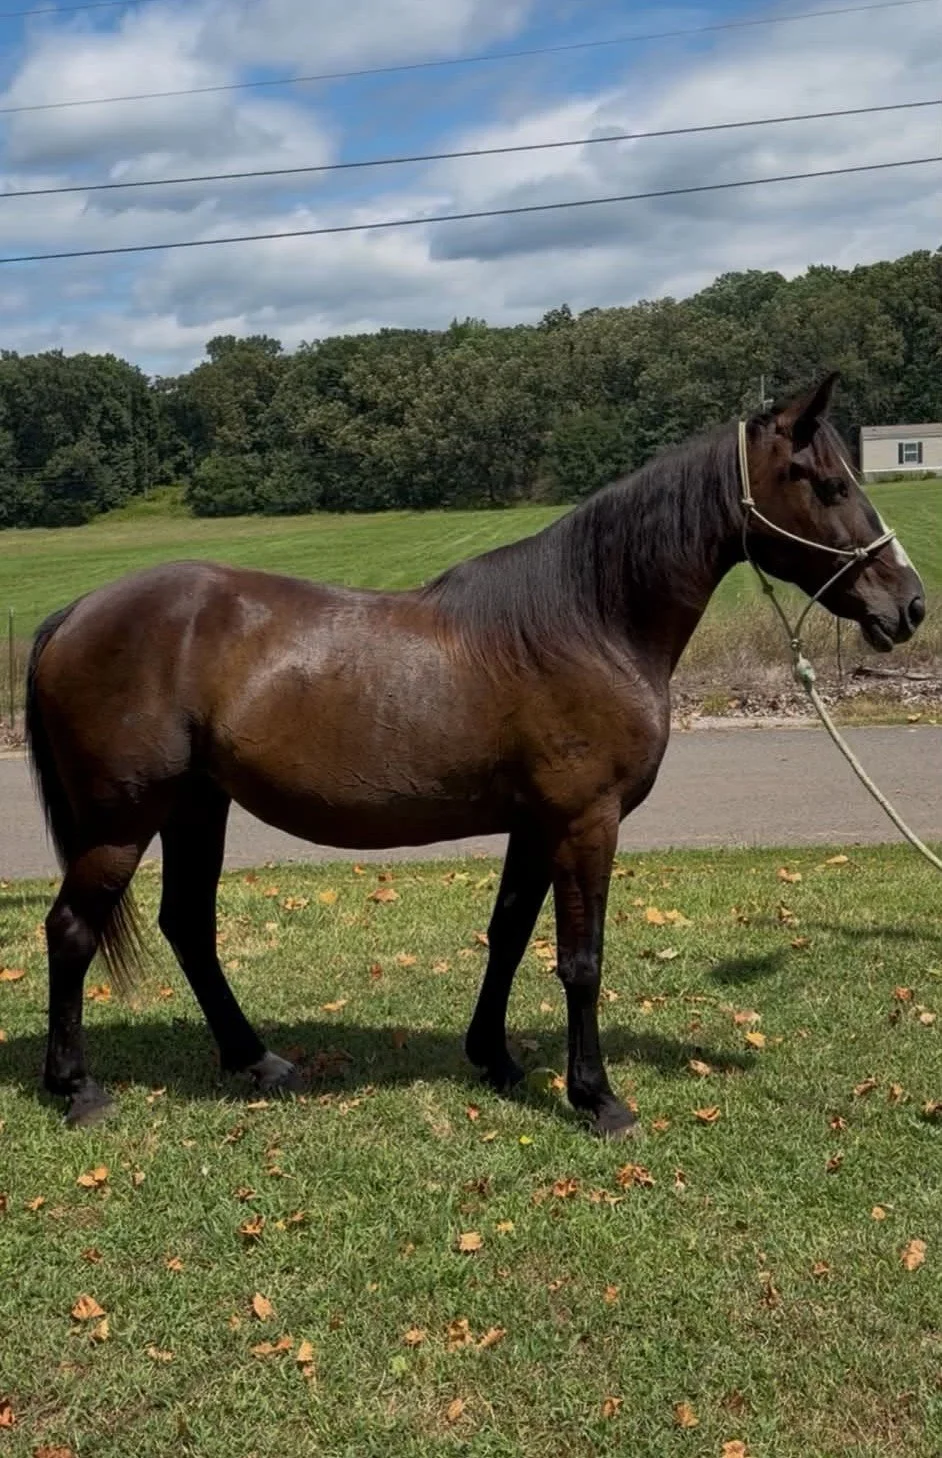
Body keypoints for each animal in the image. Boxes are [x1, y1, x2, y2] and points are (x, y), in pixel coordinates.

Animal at [25, 373, 924, 1133]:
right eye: (830, 485)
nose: (910, 605)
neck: (587, 620)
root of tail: (75, 612)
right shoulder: (586, 821)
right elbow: (581, 959)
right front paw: (597, 1098)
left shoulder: (536, 823)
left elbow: (510, 933)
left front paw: (495, 1058)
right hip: (122, 822)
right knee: (71, 931)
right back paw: (79, 1088)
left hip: (195, 807)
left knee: (189, 925)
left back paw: (256, 1060)